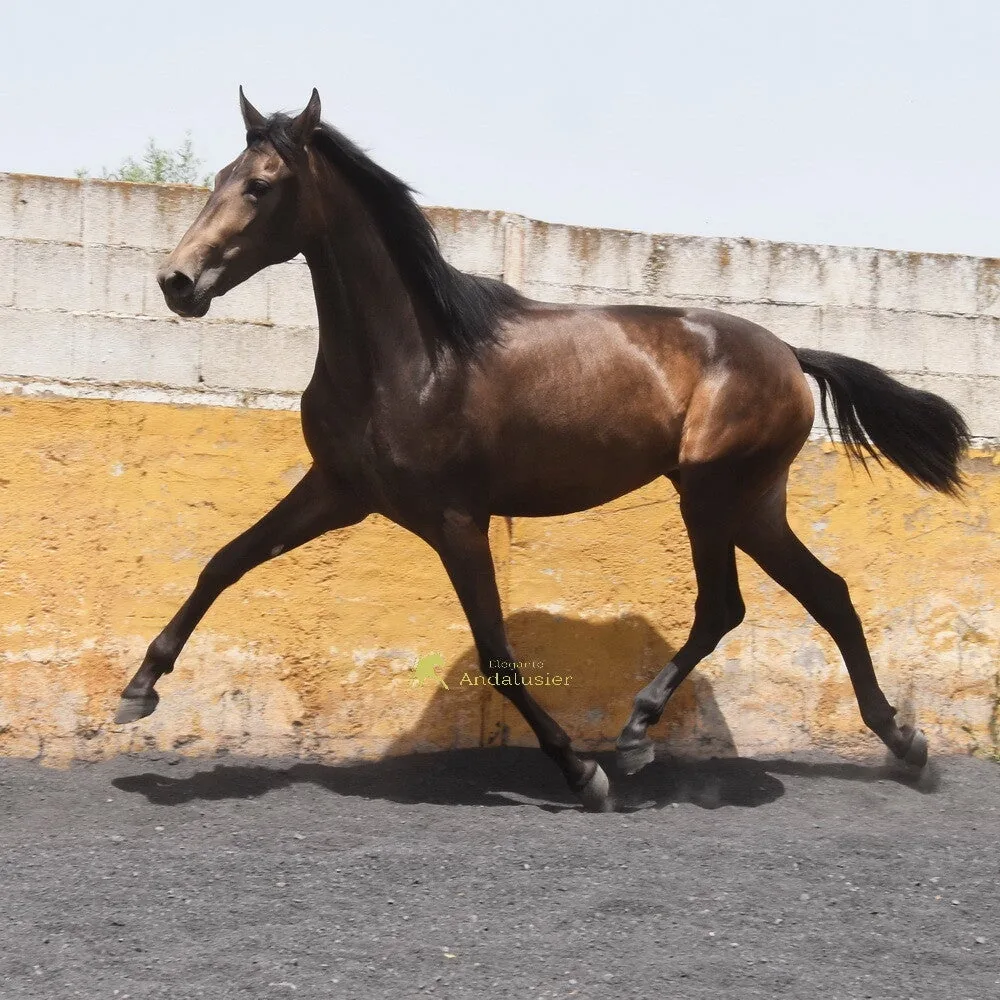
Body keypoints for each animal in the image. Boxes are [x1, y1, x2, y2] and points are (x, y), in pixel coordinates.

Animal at [116, 88, 970, 812]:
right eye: (219, 177)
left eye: (262, 185)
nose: (177, 281)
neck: (415, 357)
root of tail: (791, 353)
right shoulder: (338, 490)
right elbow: (224, 562)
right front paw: (138, 690)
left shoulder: (455, 519)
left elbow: (497, 650)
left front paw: (581, 773)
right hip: (752, 504)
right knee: (827, 595)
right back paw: (904, 744)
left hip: (711, 494)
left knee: (725, 605)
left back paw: (633, 740)